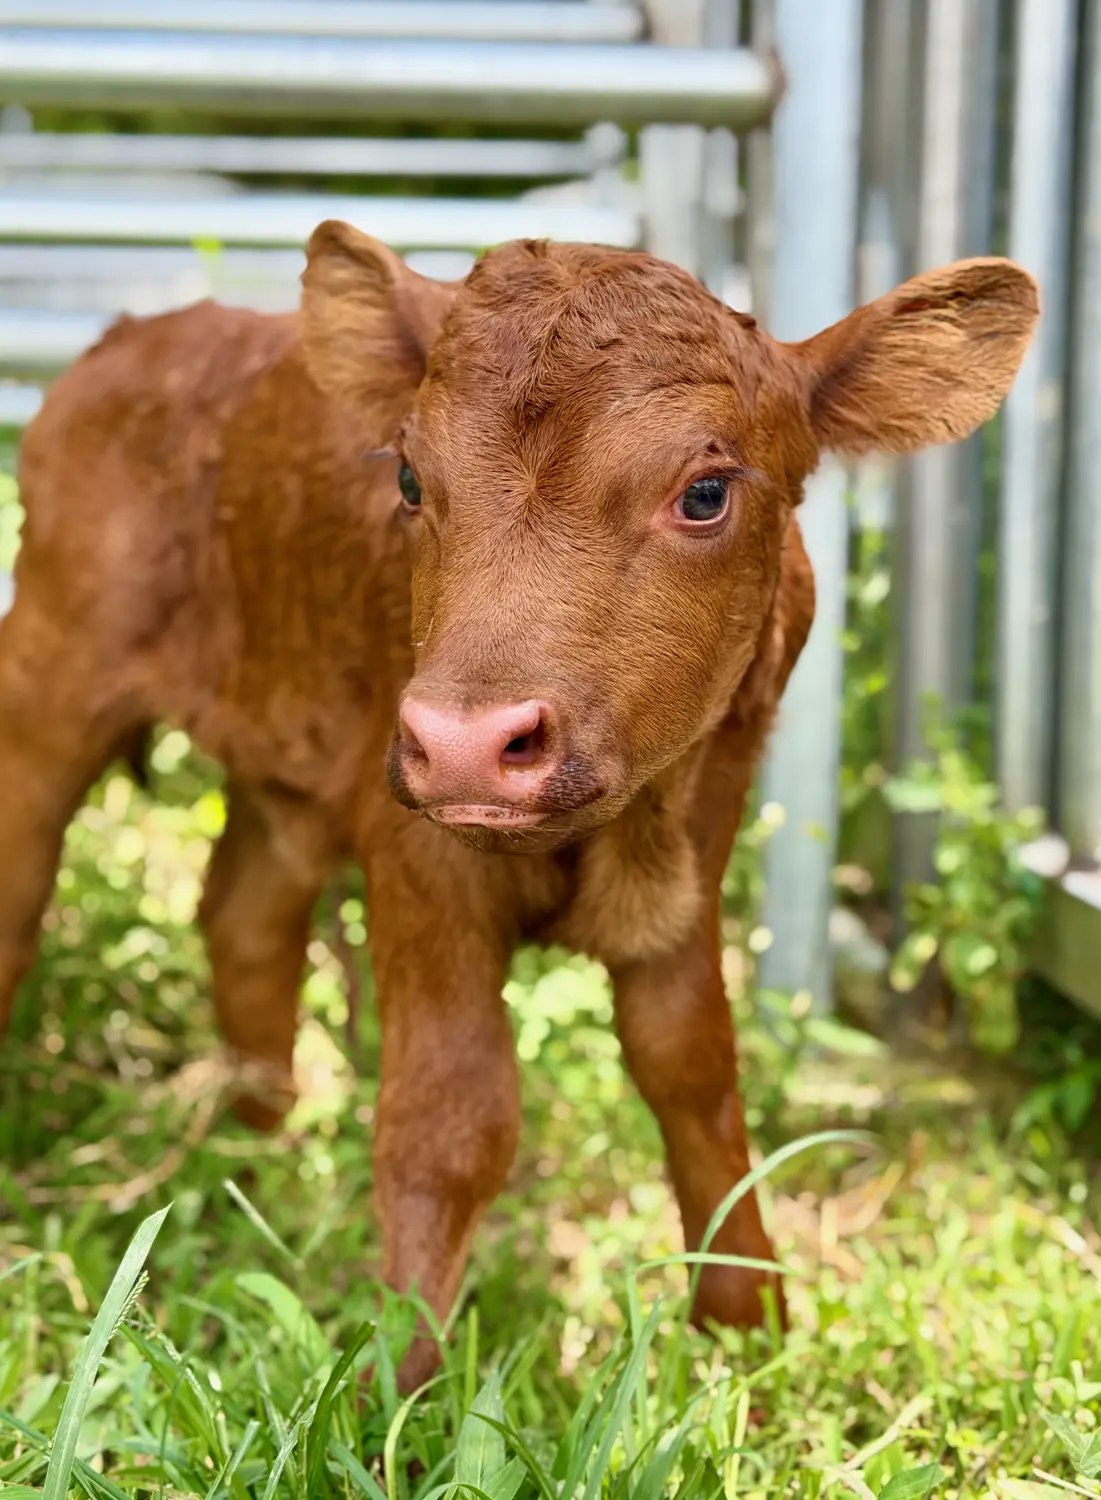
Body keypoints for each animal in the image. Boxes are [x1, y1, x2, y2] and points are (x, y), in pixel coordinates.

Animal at [0, 222, 1038, 1387]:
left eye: (706, 492)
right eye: (410, 477)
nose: (463, 745)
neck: (608, 842)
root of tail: (142, 335)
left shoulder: (693, 859)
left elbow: (693, 1070)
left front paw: (749, 1329)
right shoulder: (419, 859)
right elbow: (453, 1120)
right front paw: (395, 1384)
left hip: (286, 749)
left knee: (246, 917)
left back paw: (255, 1155)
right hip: (48, 677)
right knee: (25, 896)